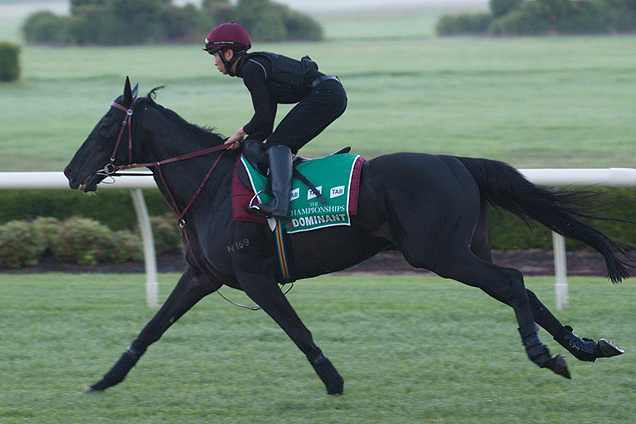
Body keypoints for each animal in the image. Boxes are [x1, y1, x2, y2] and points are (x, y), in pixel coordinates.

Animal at [62, 78, 628, 394]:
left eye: (104, 129)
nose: (70, 173)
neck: (213, 188)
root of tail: (456, 162)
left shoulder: (254, 276)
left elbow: (298, 331)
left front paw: (333, 382)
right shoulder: (203, 275)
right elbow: (151, 328)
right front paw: (104, 381)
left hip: (440, 253)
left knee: (512, 282)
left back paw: (547, 356)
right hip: (465, 248)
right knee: (523, 290)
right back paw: (586, 347)